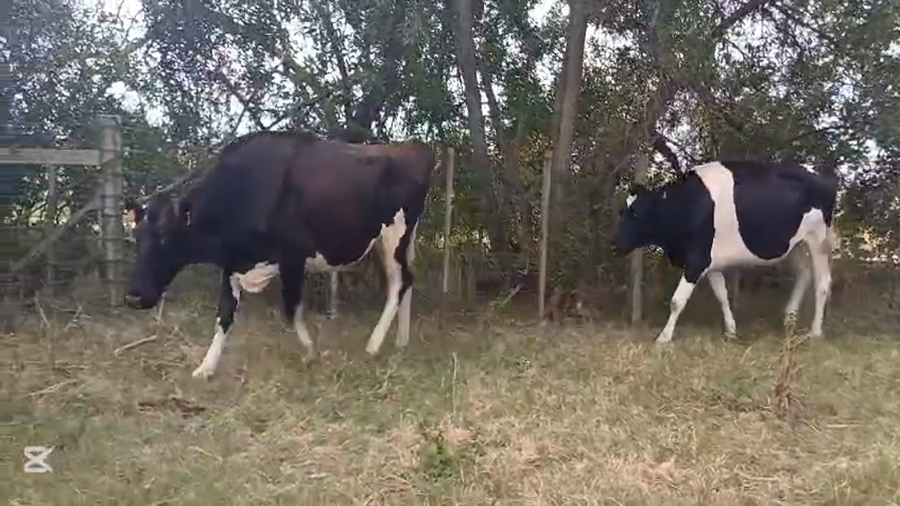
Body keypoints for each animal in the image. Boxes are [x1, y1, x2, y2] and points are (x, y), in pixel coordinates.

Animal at [123, 131, 436, 378]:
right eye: (136, 238)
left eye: (165, 238)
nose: (133, 297)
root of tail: (412, 148)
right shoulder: (233, 263)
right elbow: (224, 315)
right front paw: (206, 367)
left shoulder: (292, 256)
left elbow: (291, 309)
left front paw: (310, 351)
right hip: (394, 240)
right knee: (404, 280)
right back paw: (401, 340)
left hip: (396, 232)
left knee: (400, 282)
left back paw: (373, 345)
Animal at [613, 160, 840, 344]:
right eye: (622, 211)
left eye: (636, 214)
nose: (617, 245)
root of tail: (823, 173)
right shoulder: (711, 262)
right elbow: (722, 295)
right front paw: (730, 330)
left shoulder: (697, 260)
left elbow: (677, 301)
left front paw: (664, 337)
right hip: (795, 244)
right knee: (804, 273)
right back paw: (789, 318)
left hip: (818, 239)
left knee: (822, 283)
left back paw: (815, 332)